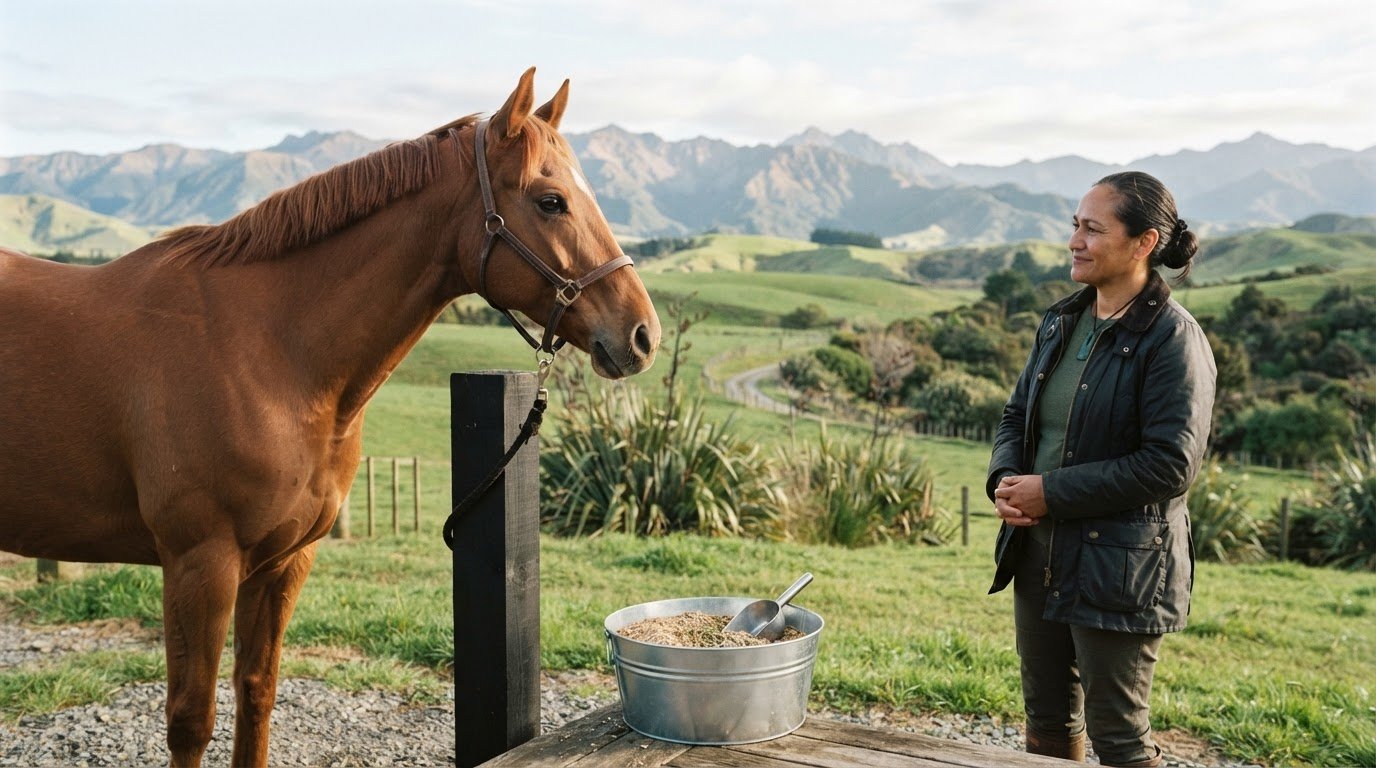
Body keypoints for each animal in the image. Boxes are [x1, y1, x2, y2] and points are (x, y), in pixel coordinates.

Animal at [0, 68, 660, 767]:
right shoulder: (199, 564)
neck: (265, 349)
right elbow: (191, 721)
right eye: (551, 200)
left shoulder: (284, 562)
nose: (642, 334)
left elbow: (256, 696)